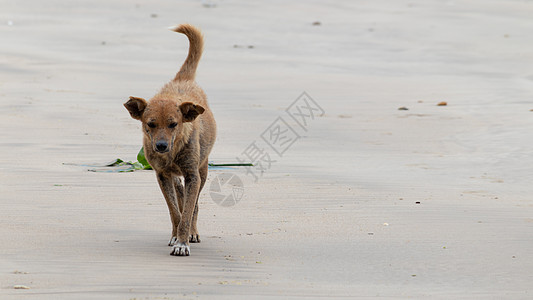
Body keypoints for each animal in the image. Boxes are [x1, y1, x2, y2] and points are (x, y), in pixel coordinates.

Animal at [123, 24, 215, 256]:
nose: (161, 146)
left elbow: (188, 211)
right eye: (150, 124)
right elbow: (175, 211)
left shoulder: (192, 175)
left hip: (202, 170)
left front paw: (183, 241)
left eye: (174, 124)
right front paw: (176, 236)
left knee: (195, 204)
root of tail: (183, 80)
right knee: (180, 195)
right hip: (175, 177)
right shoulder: (162, 175)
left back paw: (193, 232)